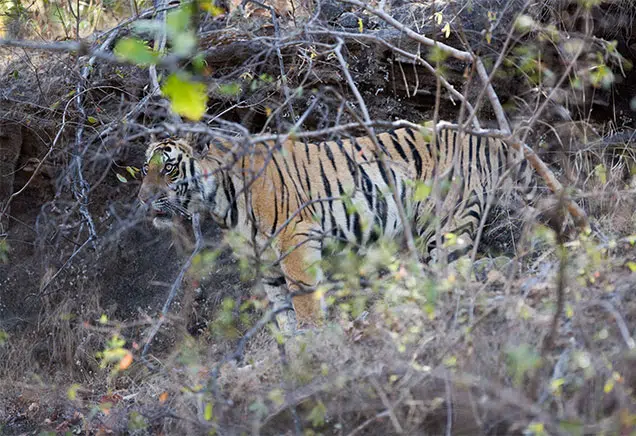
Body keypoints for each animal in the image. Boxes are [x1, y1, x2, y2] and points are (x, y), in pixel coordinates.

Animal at [137, 127, 536, 332]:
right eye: (144, 169)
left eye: (168, 169)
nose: (142, 199)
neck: (220, 199)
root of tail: (486, 135)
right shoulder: (265, 263)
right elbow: (282, 312)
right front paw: (295, 356)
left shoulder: (295, 241)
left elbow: (304, 301)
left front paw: (316, 346)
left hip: (445, 225)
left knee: (458, 276)